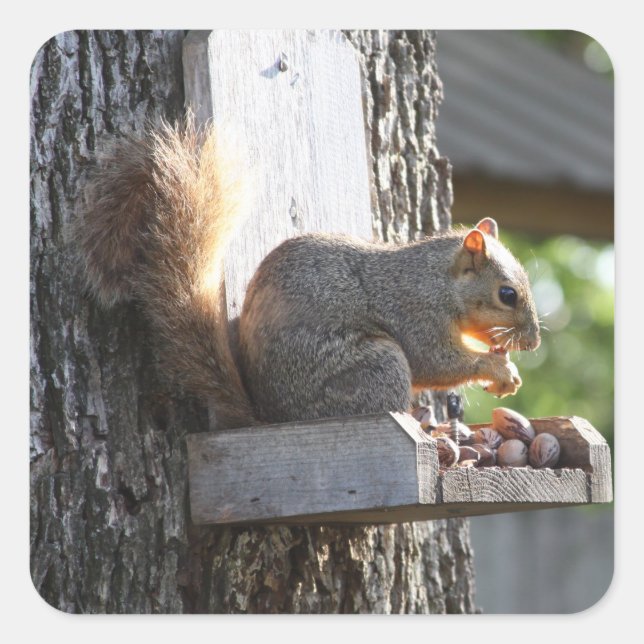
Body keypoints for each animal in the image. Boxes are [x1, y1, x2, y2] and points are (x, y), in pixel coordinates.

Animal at [76, 117, 541, 429]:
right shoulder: (414, 311)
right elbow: (436, 361)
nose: (533, 342)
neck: (441, 282)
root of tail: (271, 417)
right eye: (507, 294)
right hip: (374, 367)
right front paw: (498, 368)